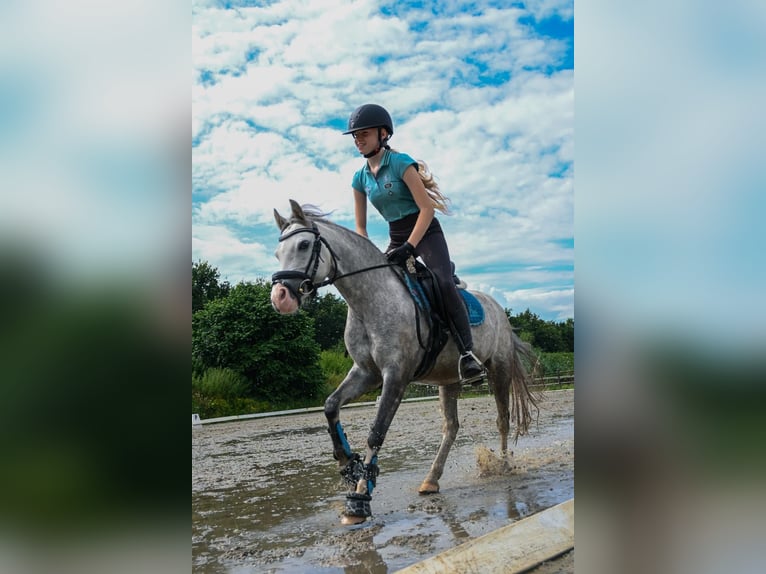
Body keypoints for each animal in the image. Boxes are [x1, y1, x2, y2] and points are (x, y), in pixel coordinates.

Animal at [270, 201, 540, 528]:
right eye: (277, 253)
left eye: (304, 244)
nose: (280, 297)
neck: (370, 300)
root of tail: (499, 308)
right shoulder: (366, 373)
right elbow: (331, 406)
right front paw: (349, 465)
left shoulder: (395, 376)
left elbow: (376, 432)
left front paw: (359, 499)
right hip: (448, 380)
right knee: (451, 427)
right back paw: (431, 480)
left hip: (498, 368)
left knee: (503, 419)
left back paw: (502, 465)